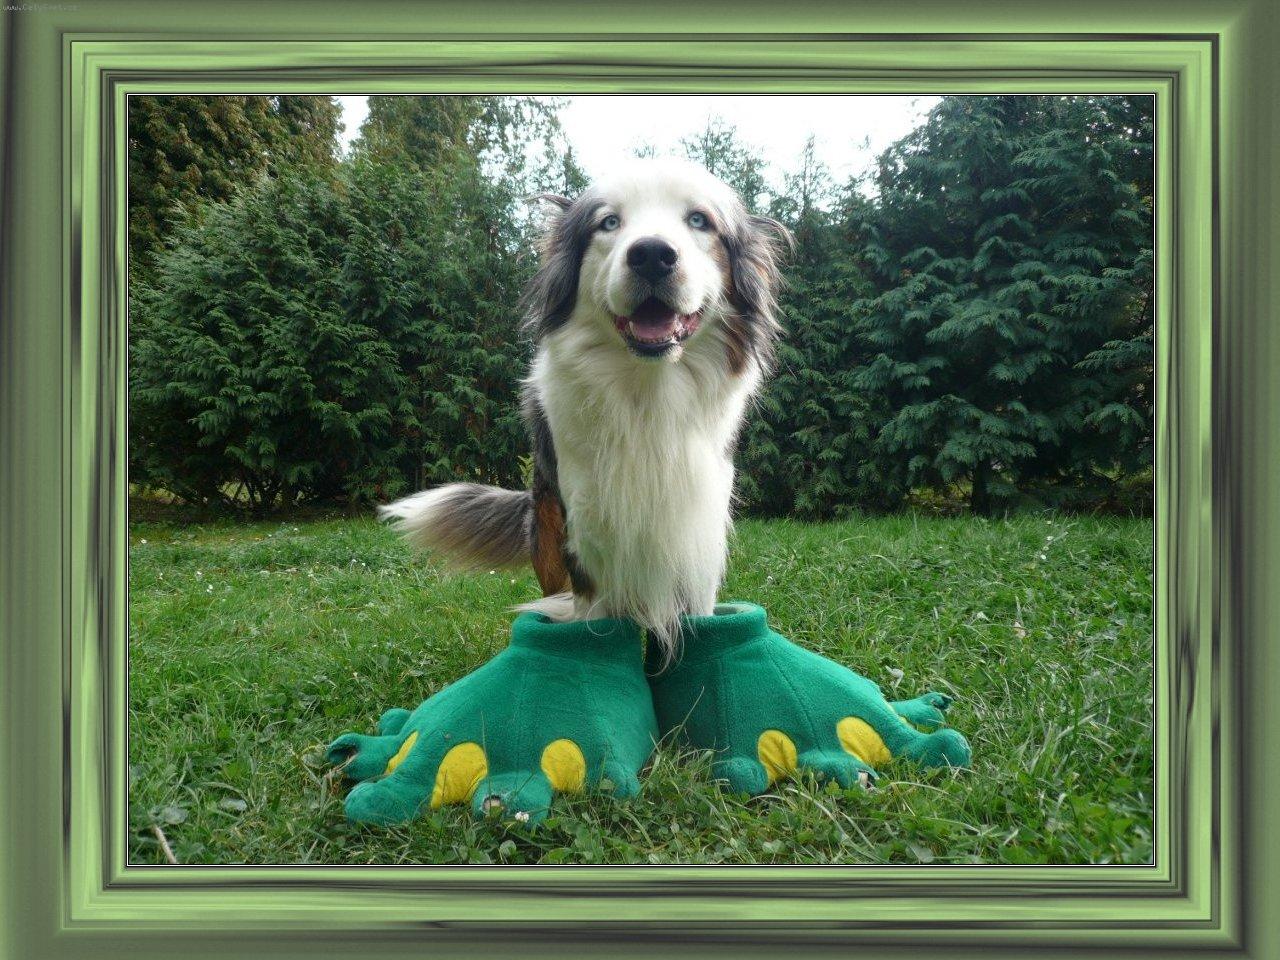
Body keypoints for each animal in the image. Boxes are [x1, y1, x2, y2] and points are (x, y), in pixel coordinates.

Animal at [380, 157, 790, 657]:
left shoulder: (696, 530)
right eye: (609, 223)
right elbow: (592, 615)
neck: (646, 395)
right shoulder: (588, 533)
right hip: (549, 526)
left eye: (699, 220)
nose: (652, 254)